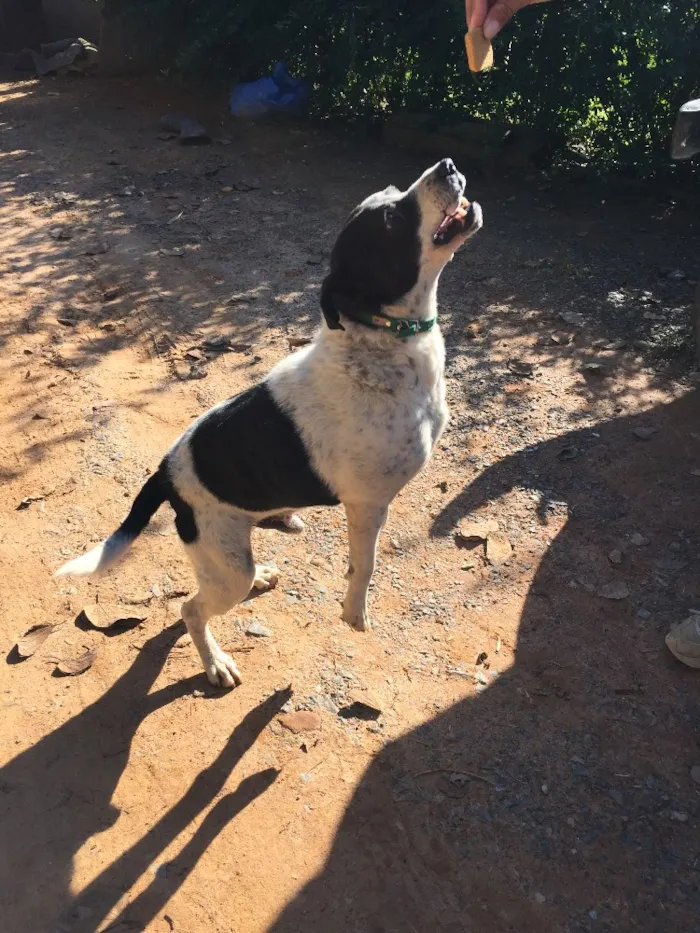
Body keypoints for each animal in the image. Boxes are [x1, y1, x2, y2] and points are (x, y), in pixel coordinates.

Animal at [56, 158, 482, 684]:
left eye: (393, 192)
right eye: (391, 220)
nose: (447, 165)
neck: (381, 343)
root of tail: (164, 473)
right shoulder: (367, 505)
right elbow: (364, 567)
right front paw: (354, 612)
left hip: (232, 549)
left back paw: (261, 569)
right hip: (225, 569)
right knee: (190, 610)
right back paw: (215, 663)